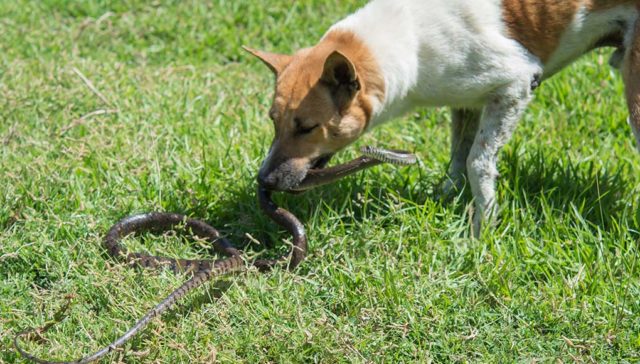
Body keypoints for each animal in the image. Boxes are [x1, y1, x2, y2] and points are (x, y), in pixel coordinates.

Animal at [245, 0, 640, 236]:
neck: (408, 42)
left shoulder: (515, 83)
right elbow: (456, 159)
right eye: (272, 121)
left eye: (307, 128)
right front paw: (444, 198)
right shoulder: (467, 101)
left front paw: (483, 229)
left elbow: (477, 161)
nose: (265, 180)